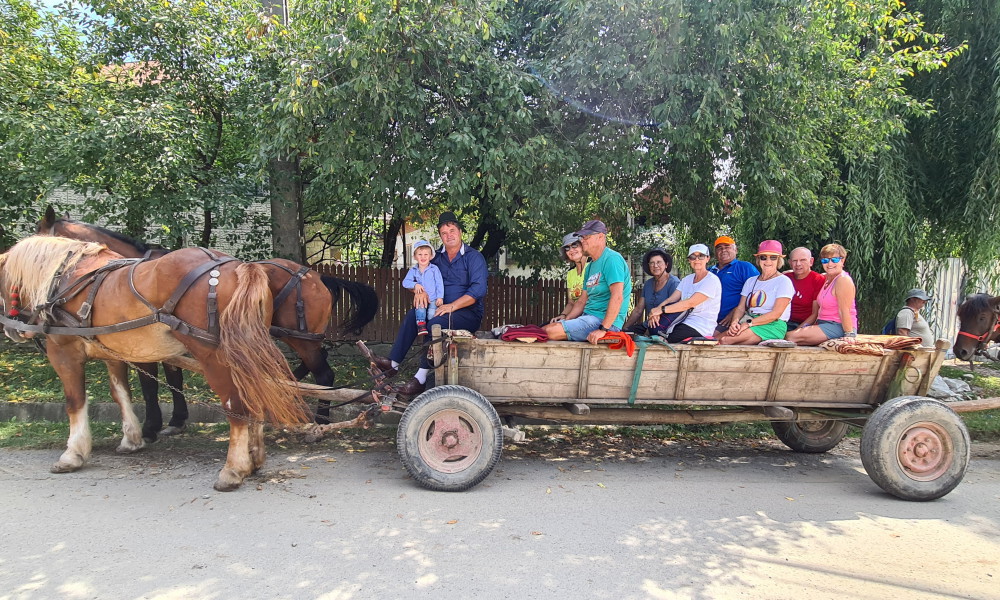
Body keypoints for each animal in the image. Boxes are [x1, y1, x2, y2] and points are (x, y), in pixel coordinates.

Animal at [0, 234, 308, 492]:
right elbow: (120, 393)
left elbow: (75, 401)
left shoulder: (63, 351)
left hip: (214, 357)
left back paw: (233, 470)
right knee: (255, 399)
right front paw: (131, 439)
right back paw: (254, 460)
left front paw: (73, 454)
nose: (11, 330)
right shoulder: (113, 352)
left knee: (237, 407)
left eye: (2, 284)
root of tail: (239, 267)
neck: (66, 278)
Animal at [36, 207, 378, 436]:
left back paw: (318, 421)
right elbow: (174, 379)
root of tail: (317, 276)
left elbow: (150, 383)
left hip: (300, 337)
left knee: (324, 374)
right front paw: (176, 420)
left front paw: (151, 426)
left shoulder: (142, 343)